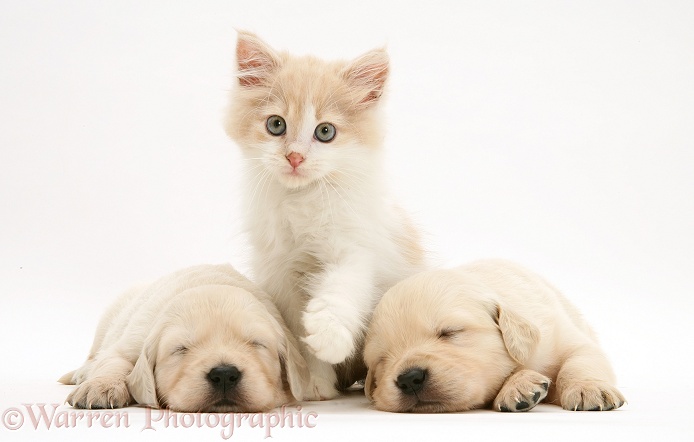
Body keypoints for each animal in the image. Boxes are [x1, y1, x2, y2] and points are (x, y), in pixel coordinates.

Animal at [59, 264, 310, 412]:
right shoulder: (133, 338)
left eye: (257, 344)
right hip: (111, 315)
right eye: (181, 349)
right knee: (95, 354)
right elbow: (115, 361)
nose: (224, 375)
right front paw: (100, 387)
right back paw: (82, 373)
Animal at [226, 29, 426, 398]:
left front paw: (328, 336)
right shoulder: (280, 275)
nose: (294, 157)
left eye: (325, 131)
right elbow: (296, 337)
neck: (302, 201)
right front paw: (315, 384)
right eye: (276, 125)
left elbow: (340, 289)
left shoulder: (354, 249)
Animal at [368, 260, 628, 412]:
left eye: (450, 332)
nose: (409, 378)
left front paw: (588, 389)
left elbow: (579, 360)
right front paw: (520, 385)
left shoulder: (564, 337)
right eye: (382, 359)